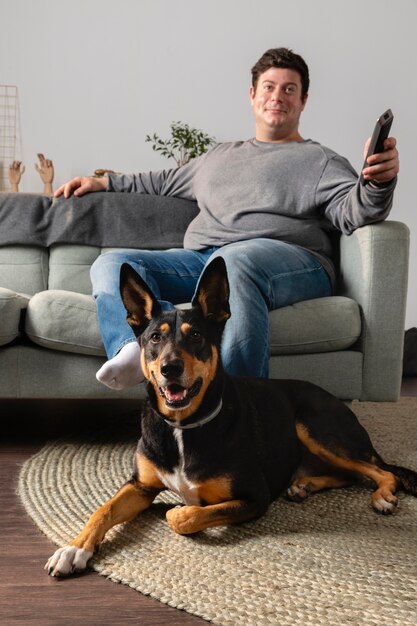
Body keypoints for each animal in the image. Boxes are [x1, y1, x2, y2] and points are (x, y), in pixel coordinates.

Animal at [45, 255, 416, 576]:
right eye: (154, 338)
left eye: (196, 335)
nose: (169, 369)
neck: (183, 425)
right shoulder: (140, 485)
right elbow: (103, 509)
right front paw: (74, 548)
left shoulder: (254, 497)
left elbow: (185, 518)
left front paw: (179, 510)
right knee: (350, 474)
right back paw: (305, 484)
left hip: (314, 427)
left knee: (380, 471)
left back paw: (382, 496)